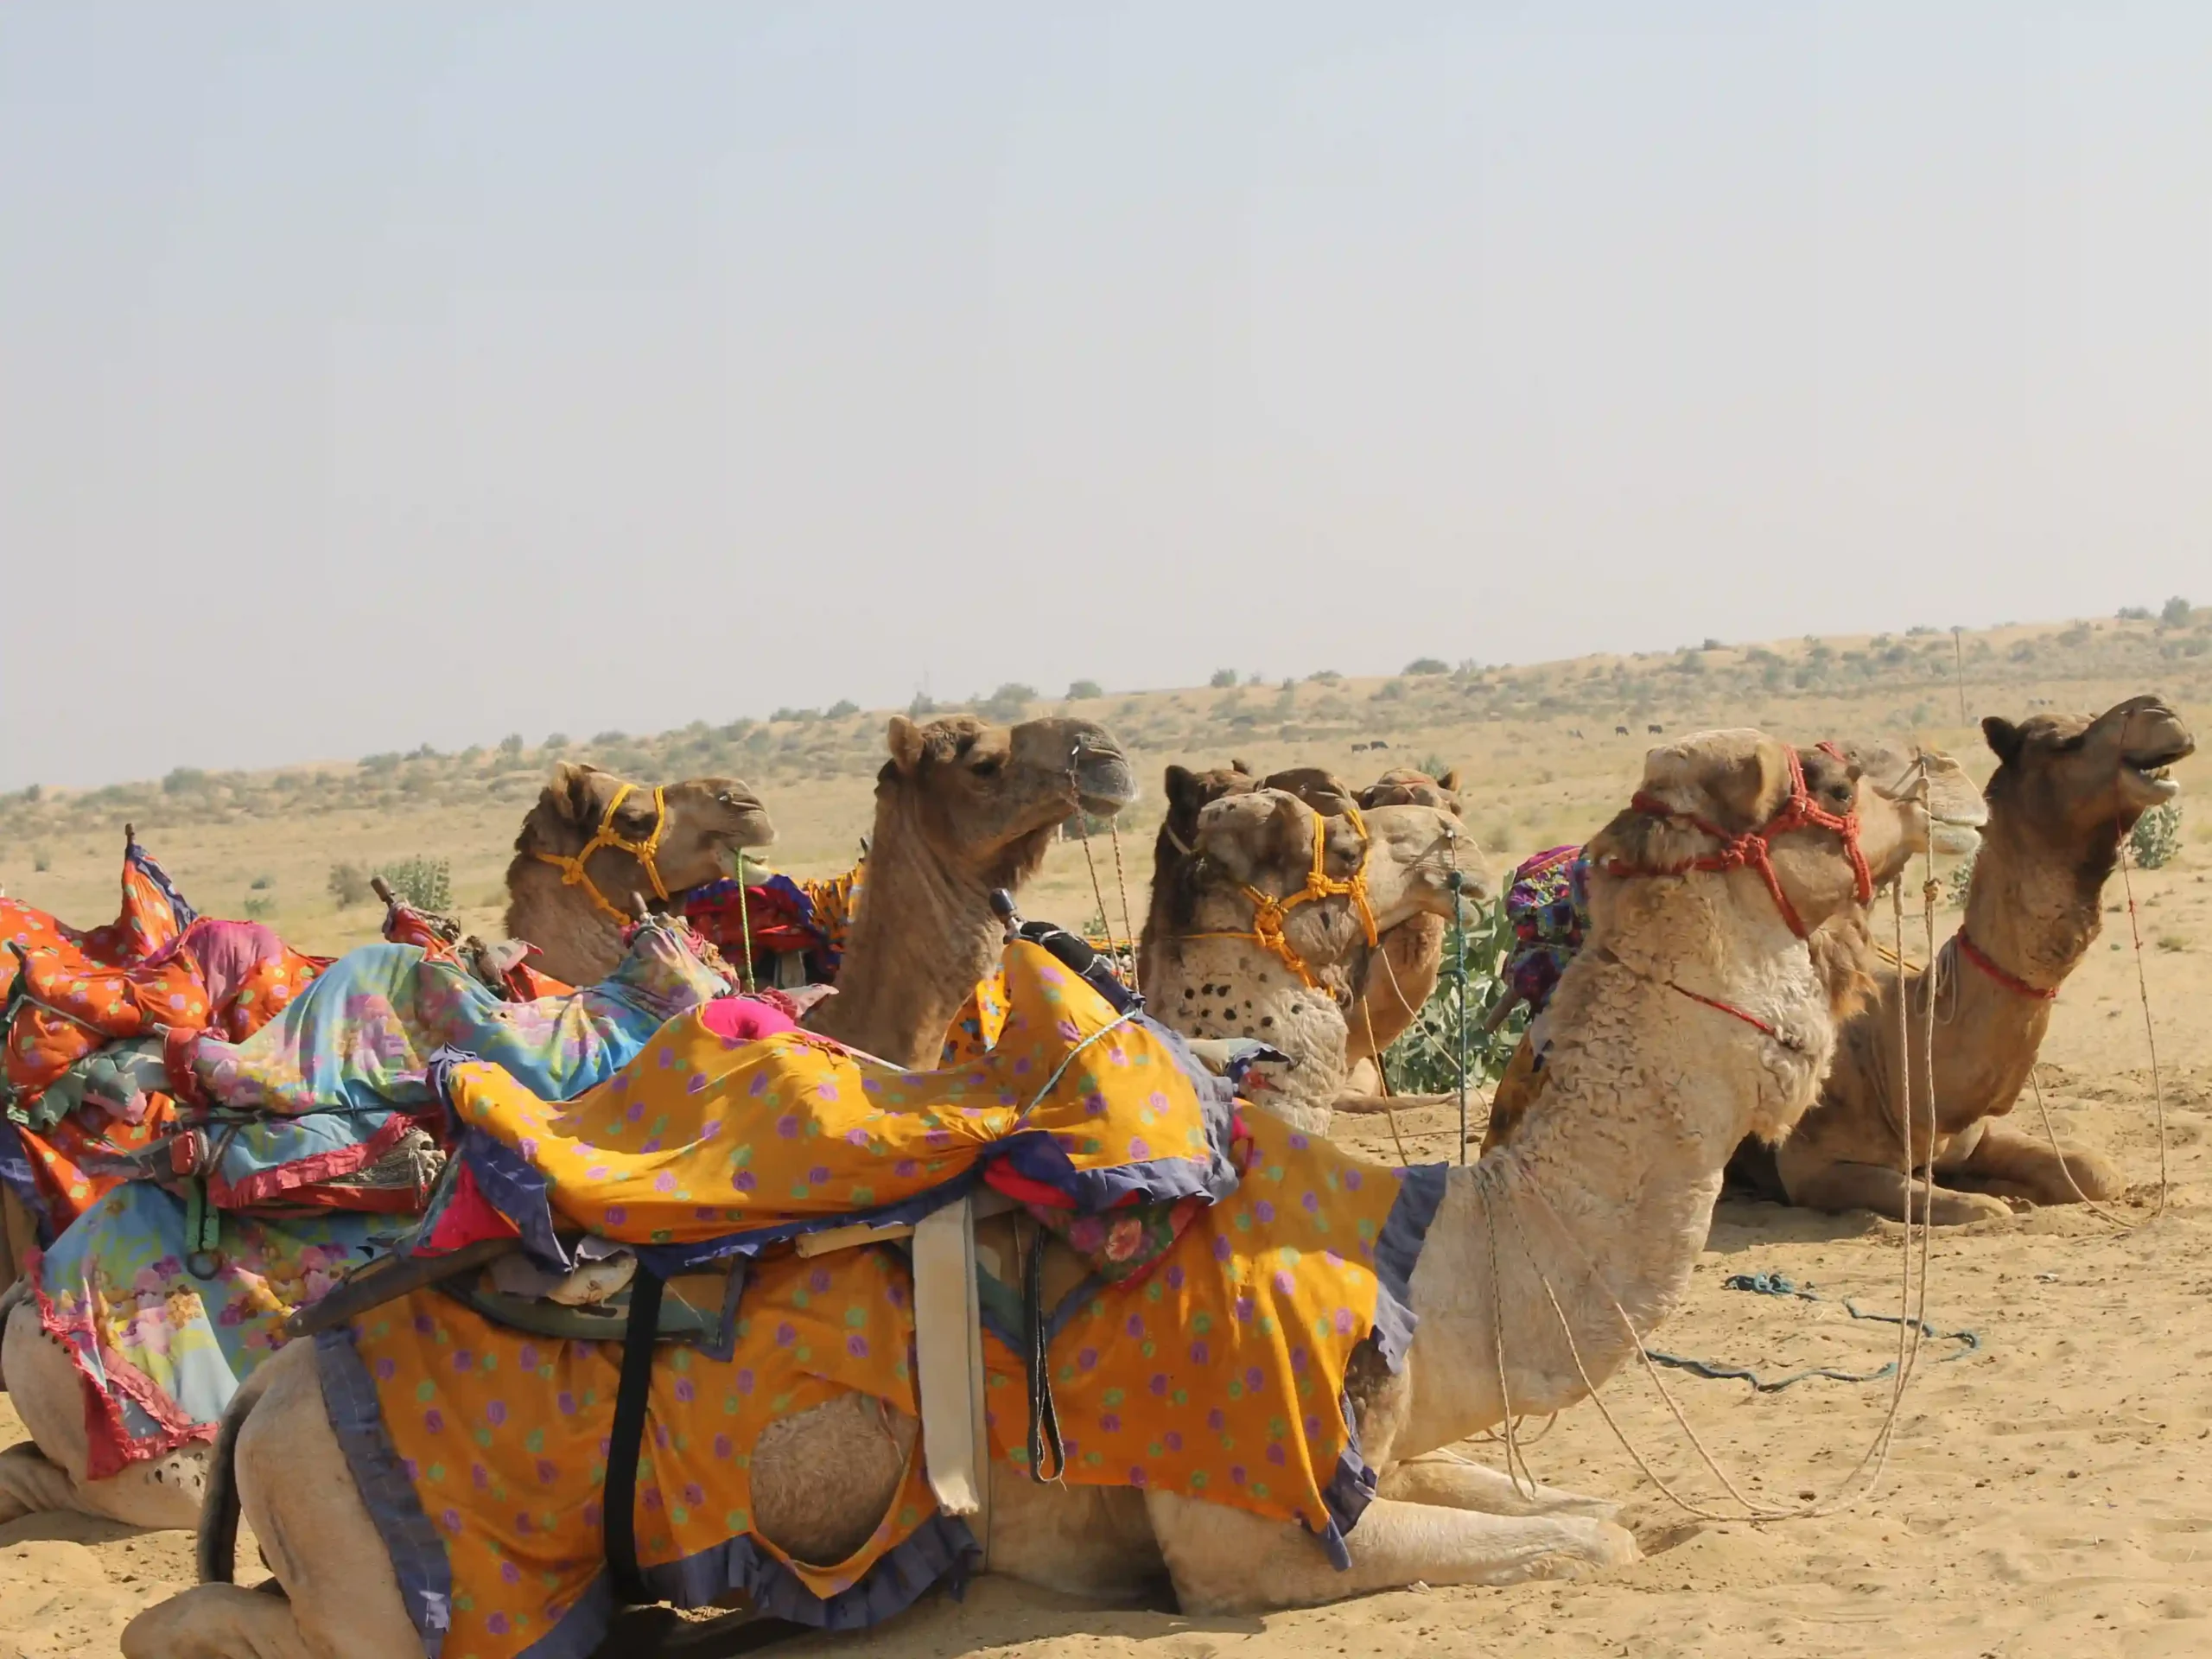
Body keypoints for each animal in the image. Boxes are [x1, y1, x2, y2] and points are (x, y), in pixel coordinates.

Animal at [1759, 696, 2196, 1224]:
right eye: (2062, 742)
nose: (2160, 711)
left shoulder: (1974, 1136)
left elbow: (2098, 1173)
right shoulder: (1812, 1169)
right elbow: (1981, 1209)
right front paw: (1994, 1196)